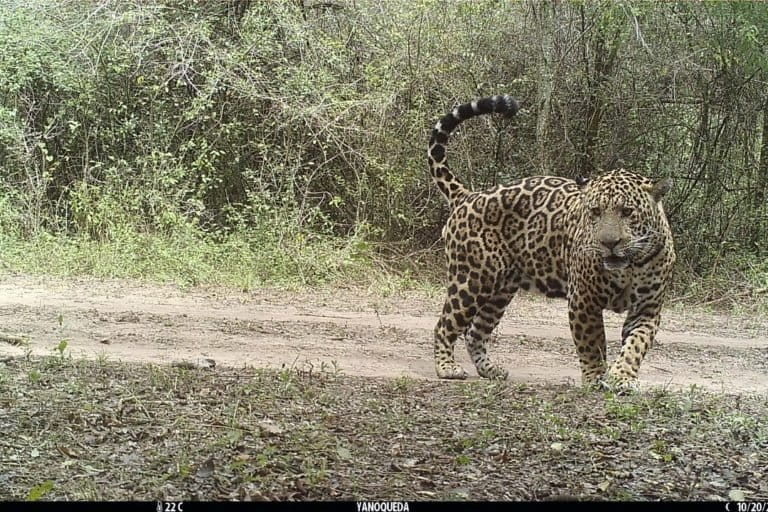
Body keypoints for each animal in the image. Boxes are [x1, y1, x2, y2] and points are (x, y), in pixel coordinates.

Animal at [428, 94, 676, 392]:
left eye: (627, 211)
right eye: (594, 212)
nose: (609, 243)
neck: (630, 267)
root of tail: (468, 195)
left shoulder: (647, 308)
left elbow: (636, 345)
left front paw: (622, 377)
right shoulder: (583, 300)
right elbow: (593, 344)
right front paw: (595, 379)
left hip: (501, 289)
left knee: (476, 331)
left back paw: (490, 370)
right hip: (473, 280)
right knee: (445, 325)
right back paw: (446, 368)